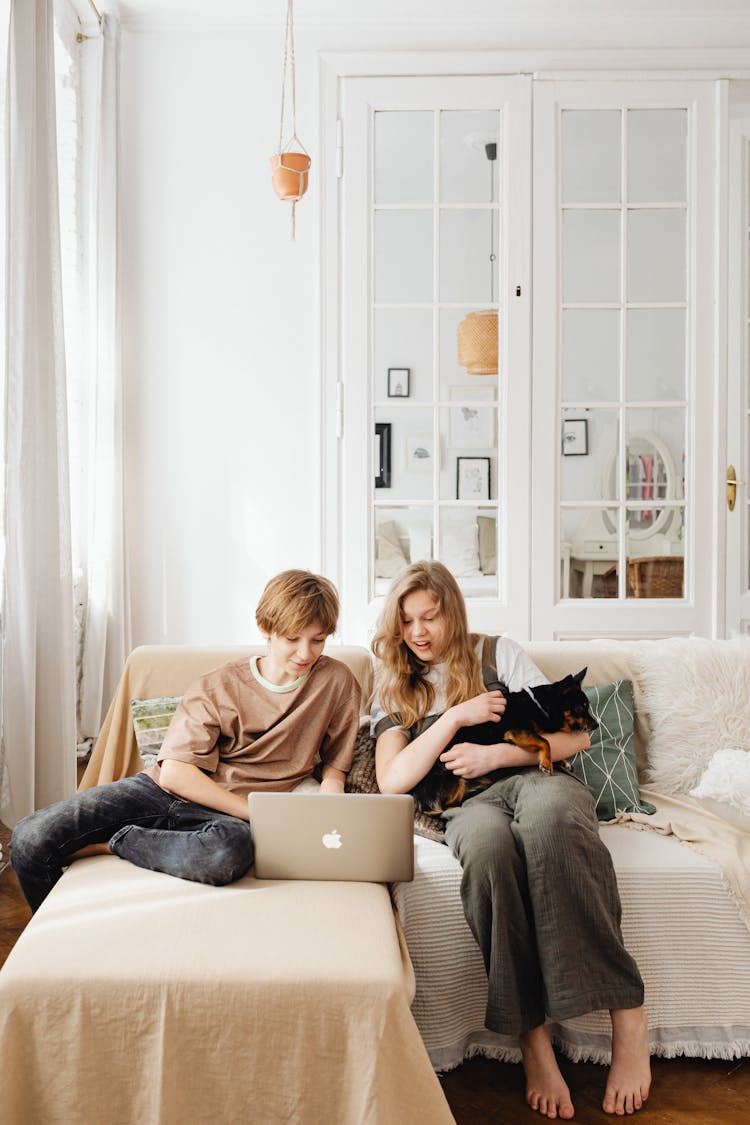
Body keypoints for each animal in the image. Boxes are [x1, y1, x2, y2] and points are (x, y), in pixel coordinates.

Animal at [411, 666, 598, 819]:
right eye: (580, 709)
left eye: (587, 707)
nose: (596, 725)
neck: (541, 706)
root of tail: (419, 799)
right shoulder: (515, 731)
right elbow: (545, 741)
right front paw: (546, 762)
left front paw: (562, 761)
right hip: (454, 776)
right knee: (445, 807)